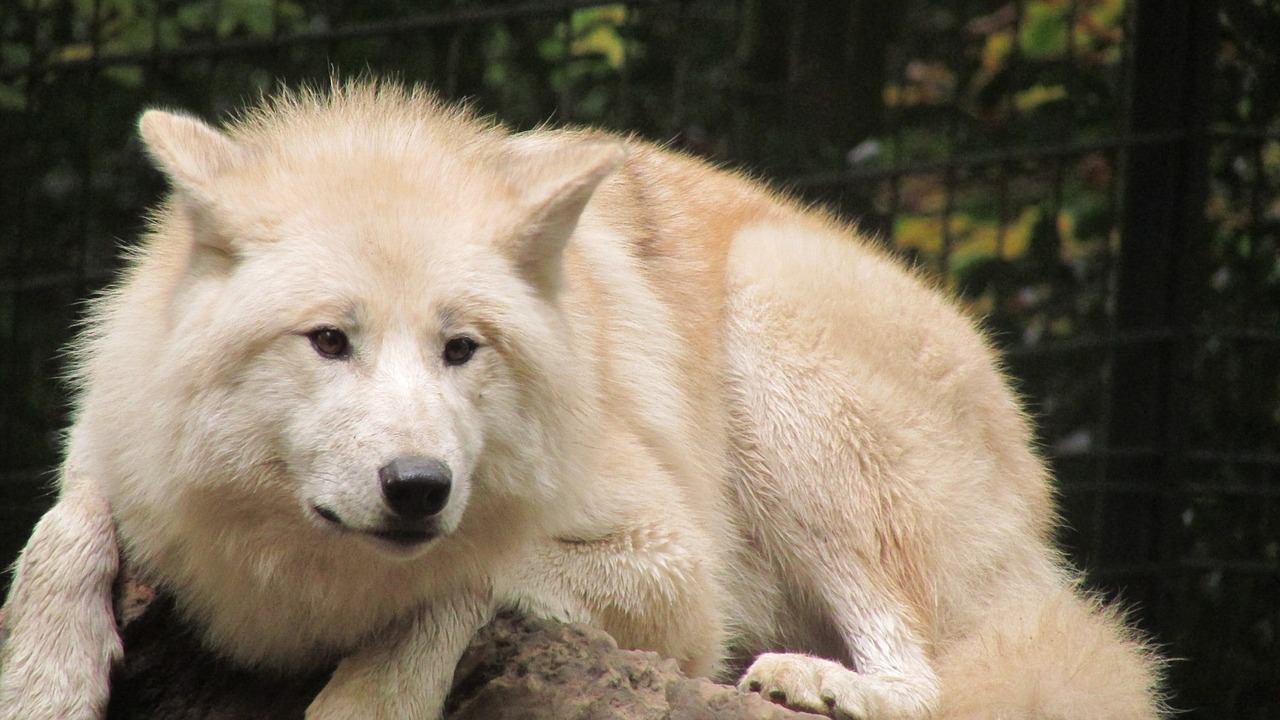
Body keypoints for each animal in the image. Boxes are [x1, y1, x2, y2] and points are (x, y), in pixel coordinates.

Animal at [0, 81, 1162, 712]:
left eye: (461, 349)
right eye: (329, 340)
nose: (419, 486)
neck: (303, 568)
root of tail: (1039, 516)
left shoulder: (681, 578)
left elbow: (458, 581)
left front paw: (370, 697)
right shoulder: (117, 446)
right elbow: (62, 525)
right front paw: (44, 685)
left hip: (773, 344)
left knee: (928, 679)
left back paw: (821, 684)